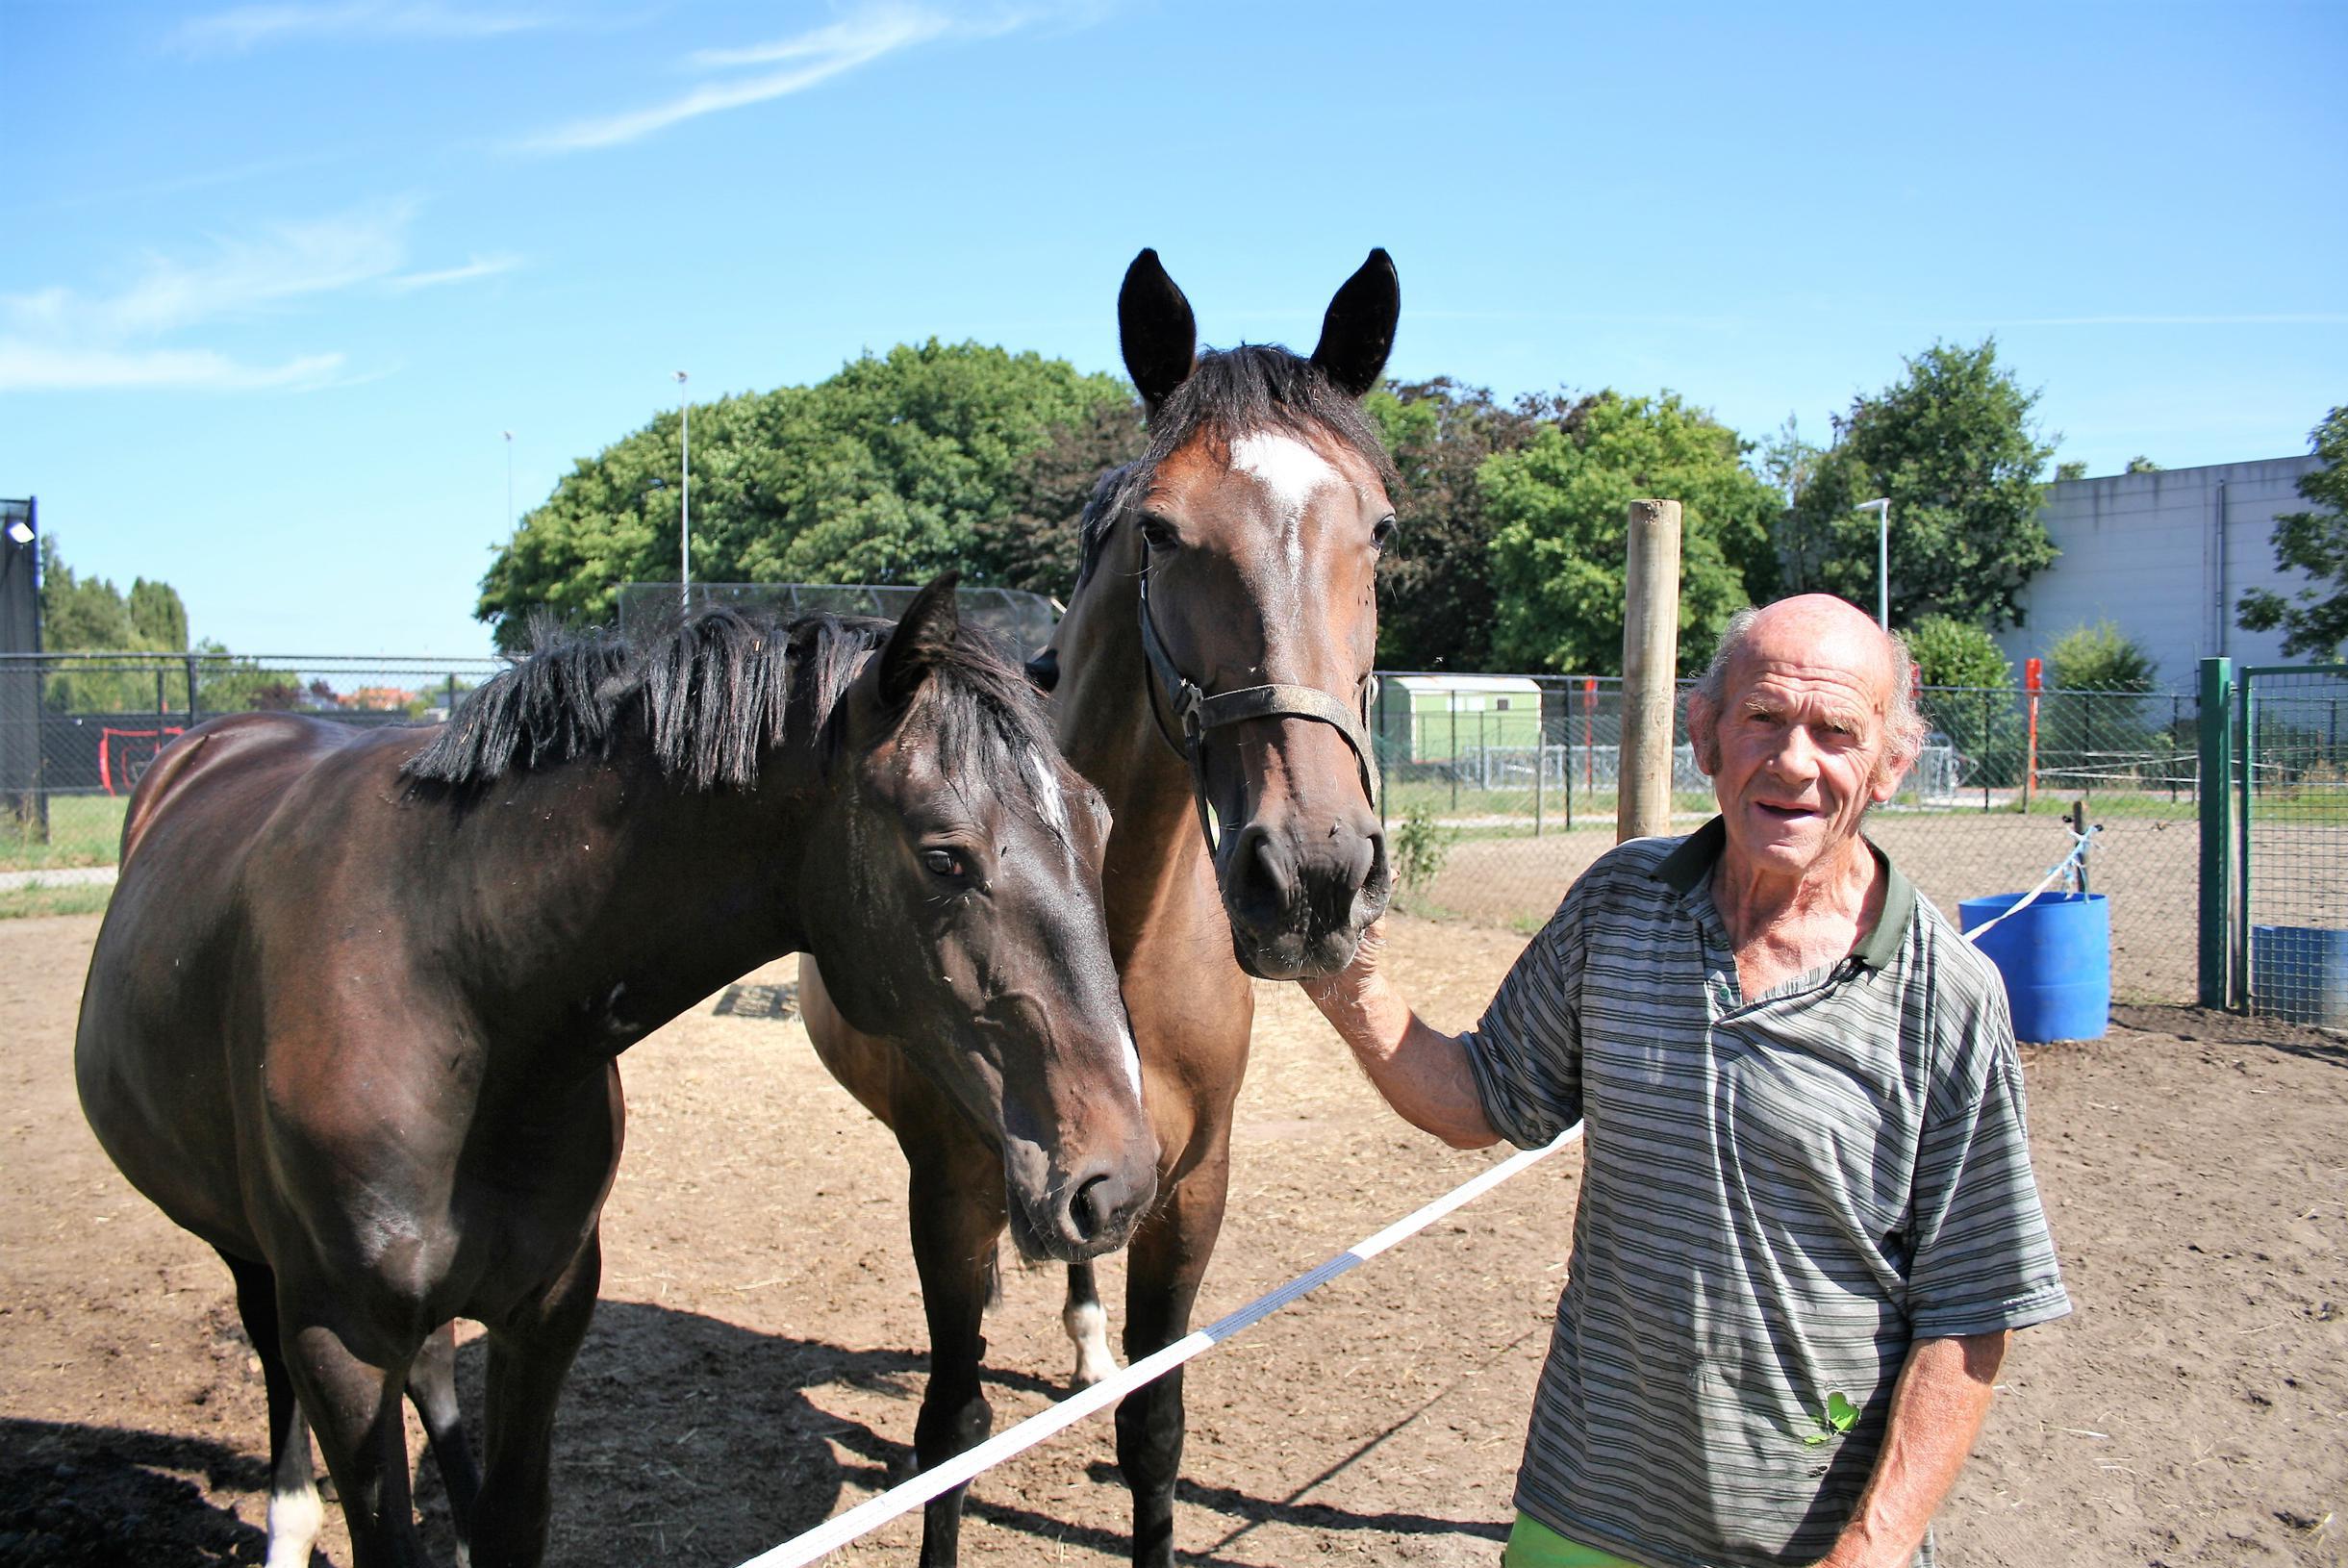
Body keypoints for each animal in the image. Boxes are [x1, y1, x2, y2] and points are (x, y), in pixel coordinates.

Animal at [78, 579, 1159, 1568]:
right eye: (944, 859)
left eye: (1102, 823)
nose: (1116, 1183)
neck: (455, 983)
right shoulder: (335, 1340)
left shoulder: (545, 1309)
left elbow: (509, 1521)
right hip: (256, 1266)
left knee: (431, 1371)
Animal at [807, 251, 1390, 1558]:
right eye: (1161, 533)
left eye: (1379, 529)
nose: (1316, 877)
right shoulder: (949, 1191)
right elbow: (950, 1434)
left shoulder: (1192, 1187)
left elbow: (1153, 1433)